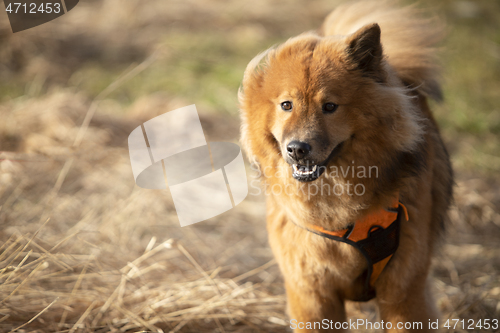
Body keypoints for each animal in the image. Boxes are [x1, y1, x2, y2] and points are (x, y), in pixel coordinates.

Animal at [238, 0, 454, 332]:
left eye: (330, 106)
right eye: (287, 105)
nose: (297, 149)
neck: (338, 209)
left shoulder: (404, 291)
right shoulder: (311, 294)